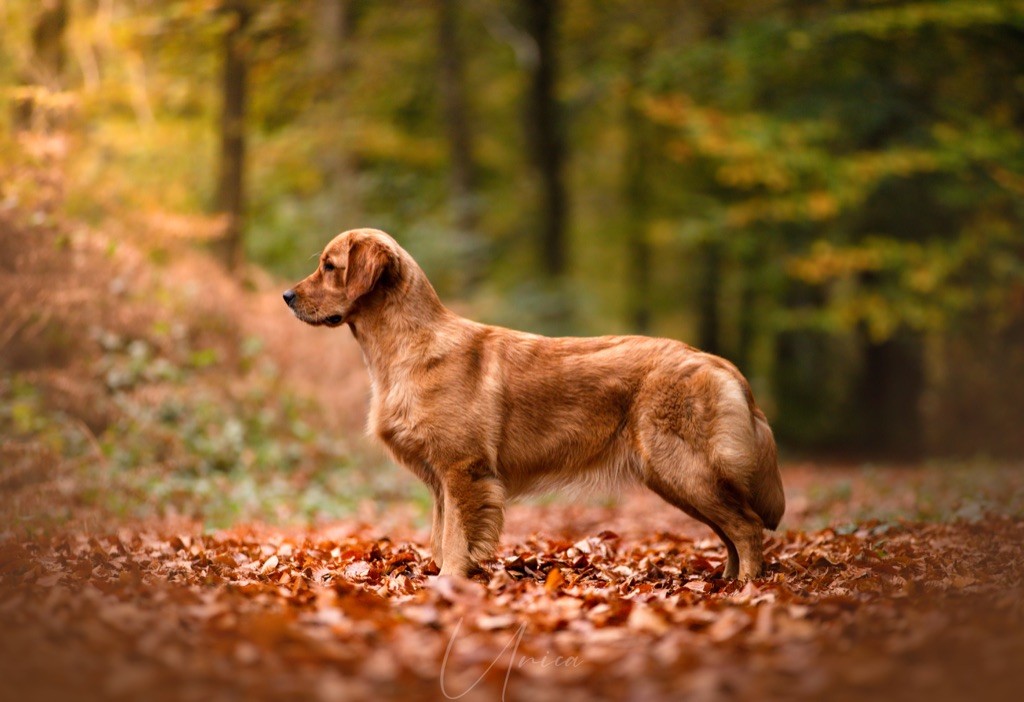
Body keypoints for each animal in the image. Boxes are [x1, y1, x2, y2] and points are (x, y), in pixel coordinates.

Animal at [282, 228, 782, 581]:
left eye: (330, 266)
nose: (286, 296)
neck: (404, 347)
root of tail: (722, 364)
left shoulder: (464, 470)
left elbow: (456, 539)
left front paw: (449, 582)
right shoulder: (442, 481)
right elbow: (440, 536)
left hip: (684, 468)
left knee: (748, 526)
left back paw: (745, 588)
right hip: (678, 478)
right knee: (733, 530)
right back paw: (726, 580)